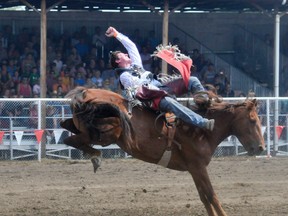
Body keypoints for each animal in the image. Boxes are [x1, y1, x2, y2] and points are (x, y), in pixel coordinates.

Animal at [60, 86, 266, 216]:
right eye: (253, 120)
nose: (261, 147)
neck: (200, 132)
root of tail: (86, 93)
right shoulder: (198, 167)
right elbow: (211, 196)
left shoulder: (194, 169)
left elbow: (204, 198)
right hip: (108, 133)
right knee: (71, 139)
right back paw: (95, 157)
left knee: (66, 129)